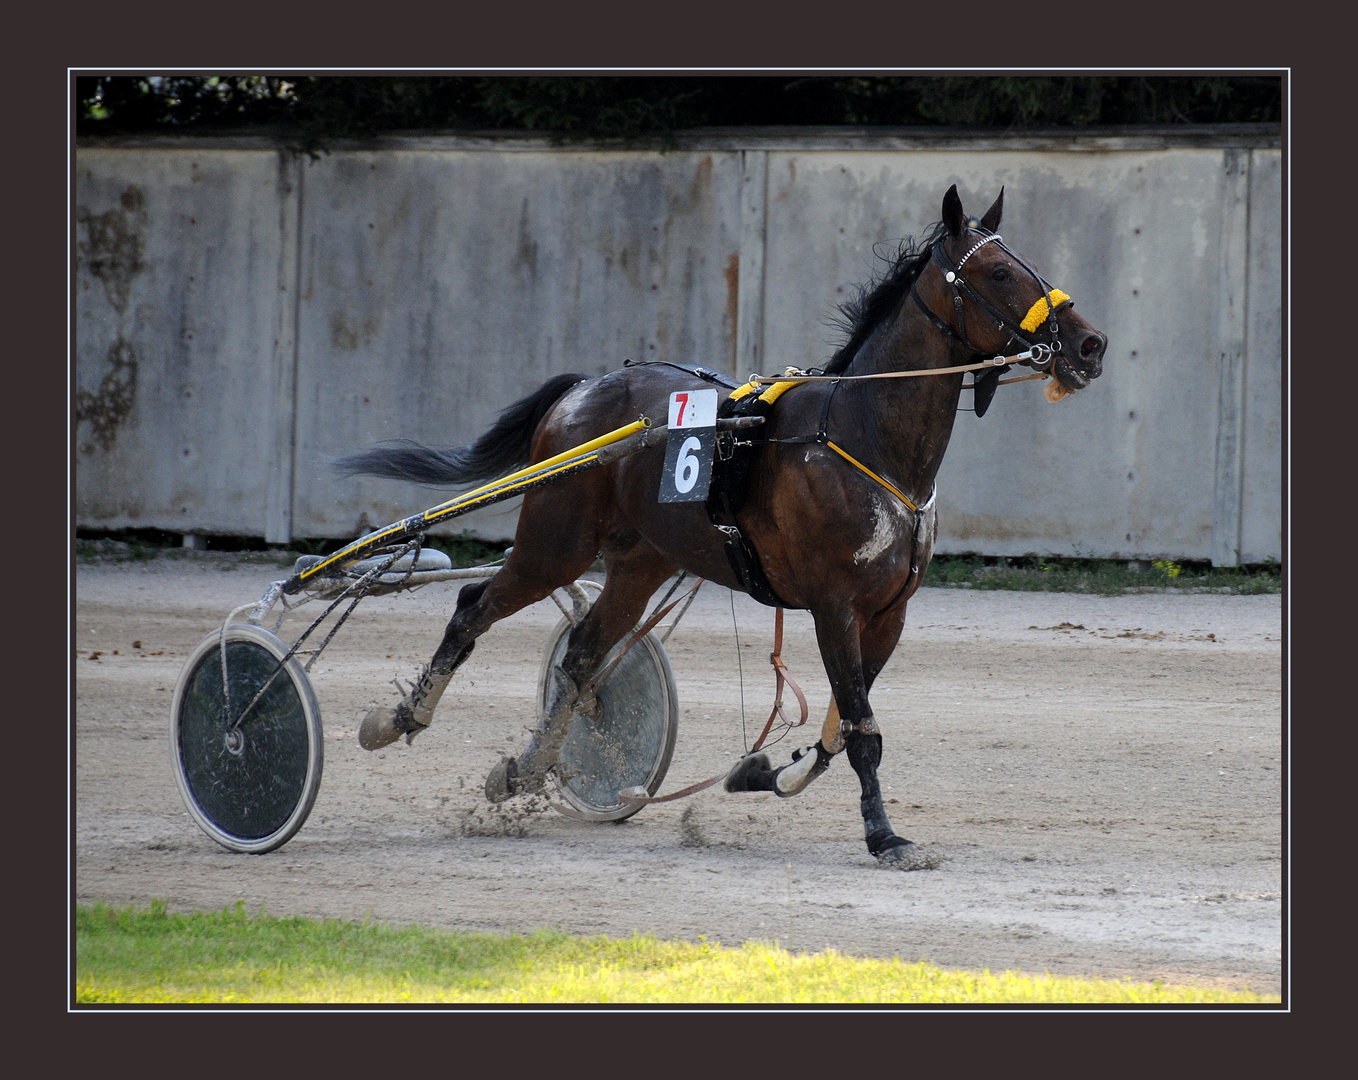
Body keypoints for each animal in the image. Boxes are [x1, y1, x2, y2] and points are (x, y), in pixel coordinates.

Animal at [336, 186, 1102, 869]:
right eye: (998, 271)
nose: (1089, 344)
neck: (865, 438)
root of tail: (582, 390)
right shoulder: (833, 605)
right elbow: (861, 730)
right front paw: (886, 838)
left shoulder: (889, 611)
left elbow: (838, 728)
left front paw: (764, 773)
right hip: (556, 541)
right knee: (475, 607)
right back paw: (399, 721)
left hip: (641, 560)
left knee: (581, 655)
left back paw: (528, 767)